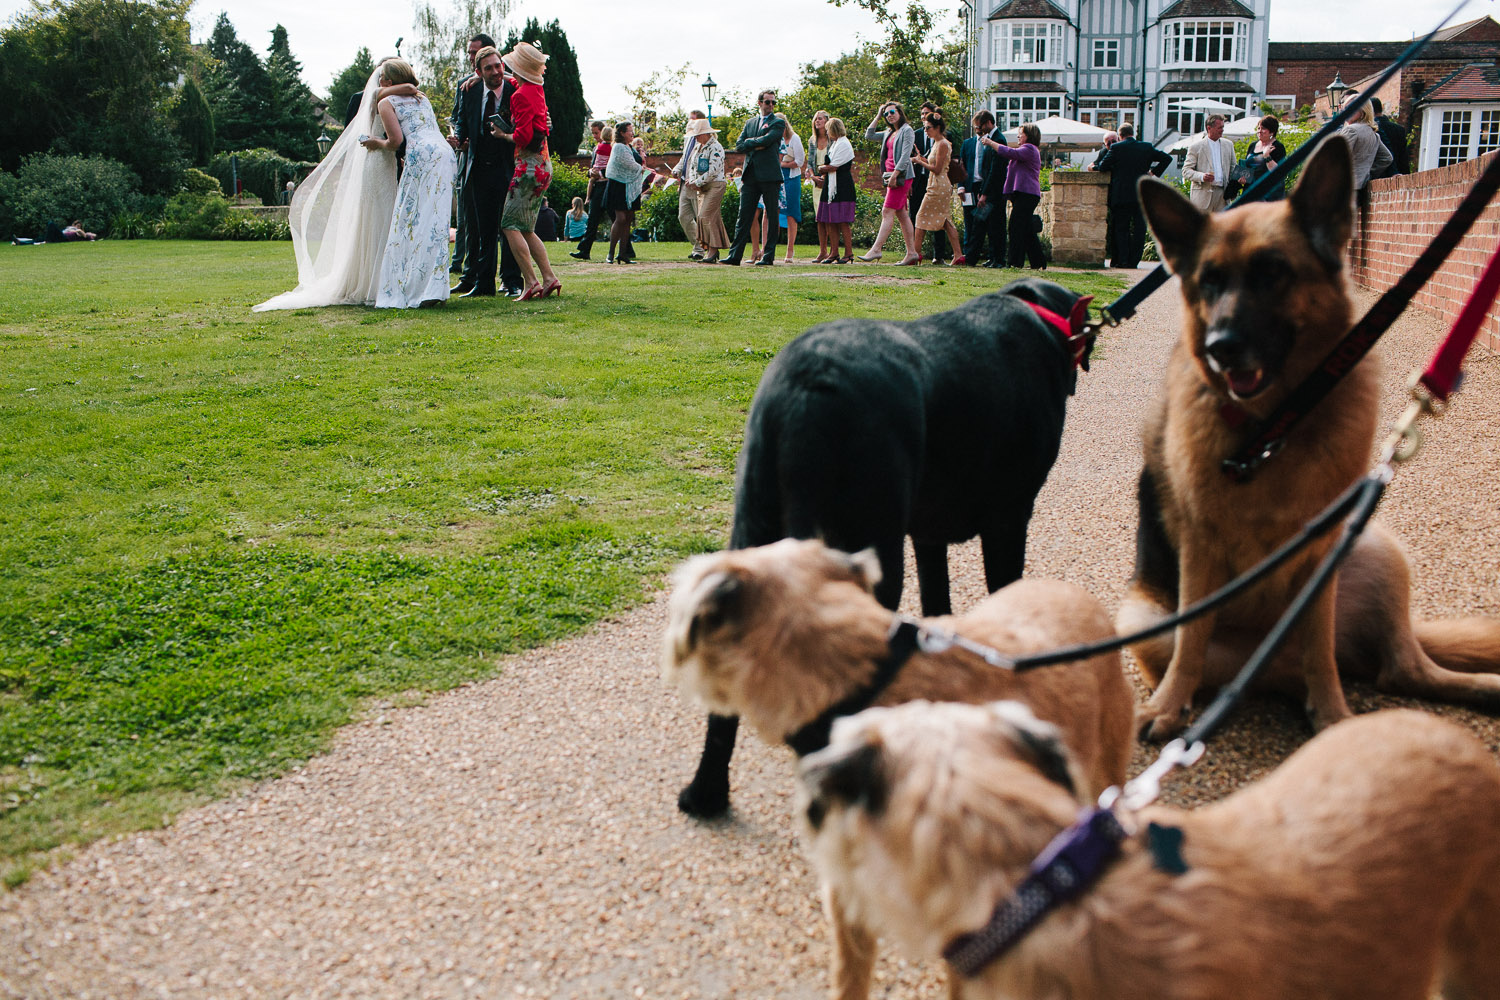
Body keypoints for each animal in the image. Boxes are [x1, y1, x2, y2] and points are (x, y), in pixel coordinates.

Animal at [678, 277, 1092, 815]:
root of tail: (806, 385)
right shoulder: (1009, 520)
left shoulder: (929, 534)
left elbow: (939, 603)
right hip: (874, 554)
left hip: (755, 525)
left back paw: (706, 794)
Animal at [1122, 134, 1500, 743]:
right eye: (1209, 280)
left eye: (1274, 272)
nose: (1221, 348)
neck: (1273, 428)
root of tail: (1263, 664)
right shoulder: (1200, 550)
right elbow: (1191, 641)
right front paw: (1167, 706)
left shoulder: (1321, 557)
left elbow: (1317, 647)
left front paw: (1334, 714)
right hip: (1144, 619)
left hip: (1376, 548)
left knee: (1401, 668)